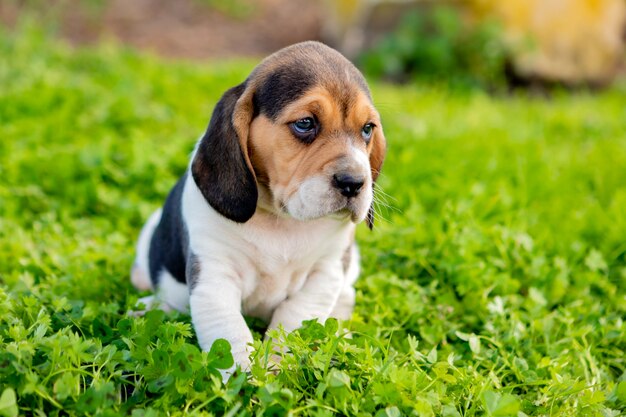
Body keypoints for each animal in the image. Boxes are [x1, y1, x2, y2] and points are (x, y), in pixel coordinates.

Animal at [130, 41, 386, 374]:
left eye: (367, 129)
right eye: (305, 123)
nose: (354, 183)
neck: (281, 219)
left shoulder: (326, 270)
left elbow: (294, 319)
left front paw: (277, 365)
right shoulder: (215, 275)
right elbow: (230, 333)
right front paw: (245, 376)